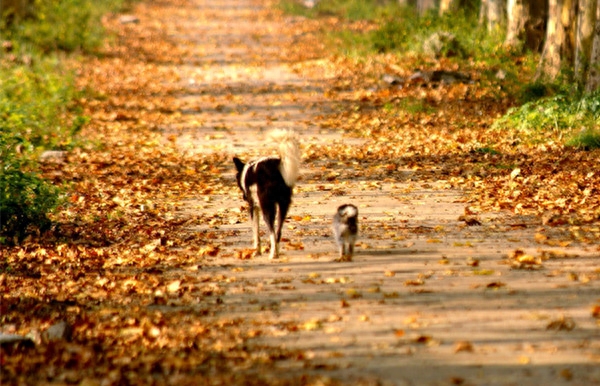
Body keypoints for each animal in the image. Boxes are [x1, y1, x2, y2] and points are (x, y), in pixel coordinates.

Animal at [233, 130, 300, 260]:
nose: (244, 197)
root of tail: (275, 166)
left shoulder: (253, 208)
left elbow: (256, 233)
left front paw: (256, 251)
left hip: (267, 208)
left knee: (273, 233)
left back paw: (272, 255)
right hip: (283, 207)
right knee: (278, 233)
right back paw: (276, 253)